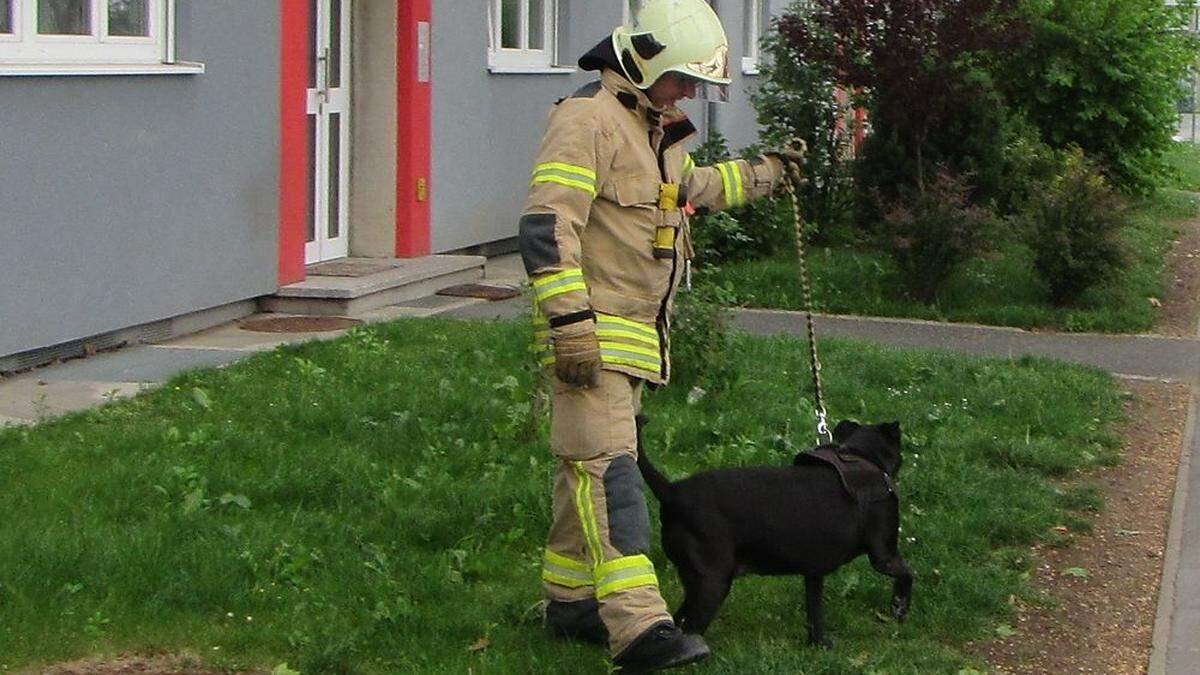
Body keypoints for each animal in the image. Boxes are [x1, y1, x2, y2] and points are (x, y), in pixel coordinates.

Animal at [638, 413, 907, 643]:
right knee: (691, 628)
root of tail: (672, 492)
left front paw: (819, 644)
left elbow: (814, 612)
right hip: (712, 583)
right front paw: (899, 608)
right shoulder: (884, 555)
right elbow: (907, 574)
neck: (860, 456)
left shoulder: (814, 572)